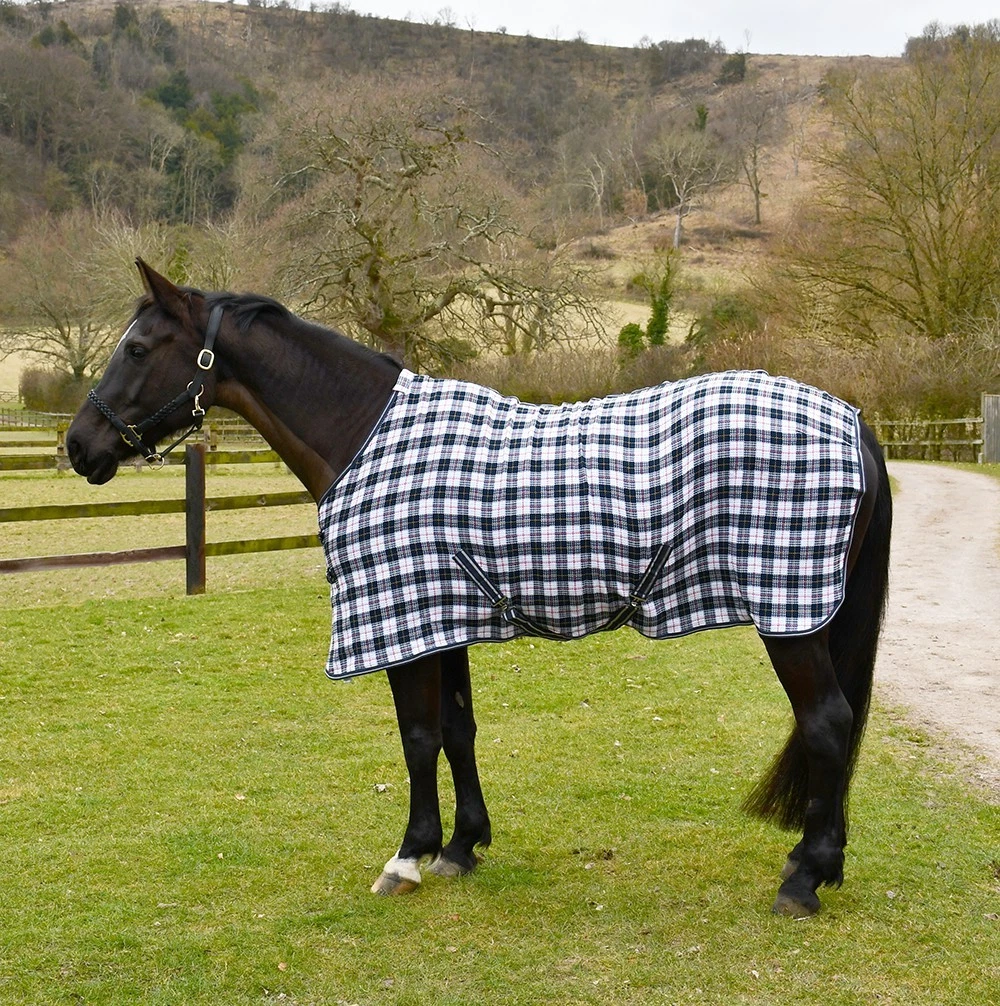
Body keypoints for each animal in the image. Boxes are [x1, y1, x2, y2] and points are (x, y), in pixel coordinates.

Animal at [67, 259, 892, 918]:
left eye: (137, 348)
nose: (79, 447)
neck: (363, 436)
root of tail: (851, 419)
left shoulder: (403, 621)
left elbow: (417, 737)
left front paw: (408, 856)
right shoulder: (443, 619)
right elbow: (458, 730)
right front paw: (463, 847)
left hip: (791, 618)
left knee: (826, 723)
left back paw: (803, 881)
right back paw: (818, 864)